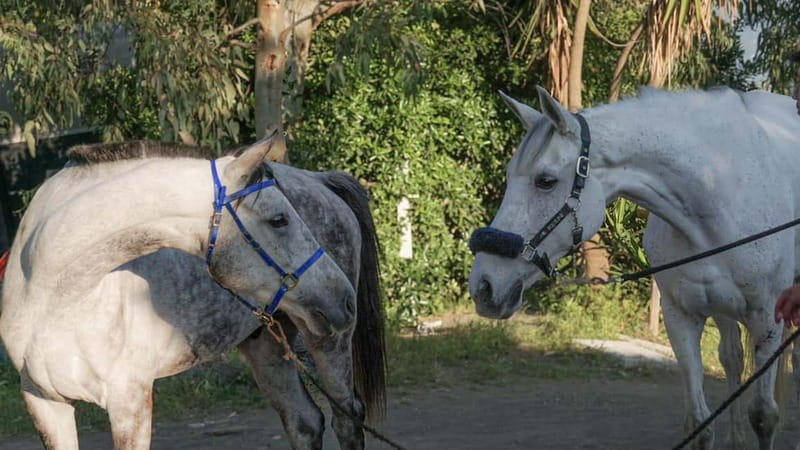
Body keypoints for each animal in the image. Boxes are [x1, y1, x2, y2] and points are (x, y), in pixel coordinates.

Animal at [0, 138, 386, 450]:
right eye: (279, 220)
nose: (344, 298)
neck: (57, 295)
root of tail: (321, 181)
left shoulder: (129, 402)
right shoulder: (44, 403)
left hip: (328, 343)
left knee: (346, 418)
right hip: (267, 345)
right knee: (304, 421)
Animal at [468, 86, 800, 449]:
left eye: (545, 181)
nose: (483, 287)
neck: (717, 195)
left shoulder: (767, 319)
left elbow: (764, 416)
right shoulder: (681, 317)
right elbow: (700, 422)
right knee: (732, 357)